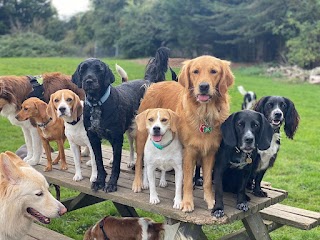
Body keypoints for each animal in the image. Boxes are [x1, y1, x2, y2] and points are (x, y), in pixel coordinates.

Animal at [131, 54, 234, 212]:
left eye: (214, 71)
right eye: (195, 71)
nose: (203, 86)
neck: (204, 114)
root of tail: (155, 84)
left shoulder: (210, 151)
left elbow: (207, 181)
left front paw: (210, 201)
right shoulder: (188, 151)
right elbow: (187, 181)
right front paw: (187, 202)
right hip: (142, 137)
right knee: (139, 161)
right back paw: (138, 183)